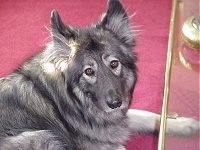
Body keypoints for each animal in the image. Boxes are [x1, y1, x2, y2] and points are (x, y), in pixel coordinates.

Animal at [0, 0, 199, 149]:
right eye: (89, 71)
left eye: (114, 64)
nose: (115, 104)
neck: (75, 103)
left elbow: (147, 115)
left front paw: (184, 124)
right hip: (42, 137)